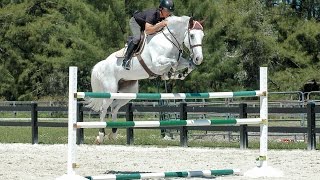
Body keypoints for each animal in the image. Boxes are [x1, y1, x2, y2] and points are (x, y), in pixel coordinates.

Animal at [87, 15, 205, 143]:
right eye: (192, 35)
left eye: (203, 36)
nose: (199, 58)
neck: (169, 40)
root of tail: (103, 64)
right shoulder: (156, 64)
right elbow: (173, 62)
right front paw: (169, 74)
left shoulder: (179, 61)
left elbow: (188, 65)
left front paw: (180, 73)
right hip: (111, 90)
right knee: (103, 109)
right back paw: (100, 135)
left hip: (128, 91)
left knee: (114, 108)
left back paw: (113, 133)